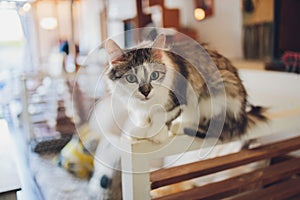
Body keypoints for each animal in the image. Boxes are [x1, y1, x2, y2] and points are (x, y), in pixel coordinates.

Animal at [103, 34, 264, 144]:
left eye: (154, 75)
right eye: (131, 78)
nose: (146, 91)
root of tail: (243, 116)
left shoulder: (179, 98)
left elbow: (161, 117)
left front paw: (156, 134)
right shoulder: (137, 108)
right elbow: (145, 118)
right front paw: (140, 130)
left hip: (219, 91)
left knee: (215, 128)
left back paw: (180, 127)